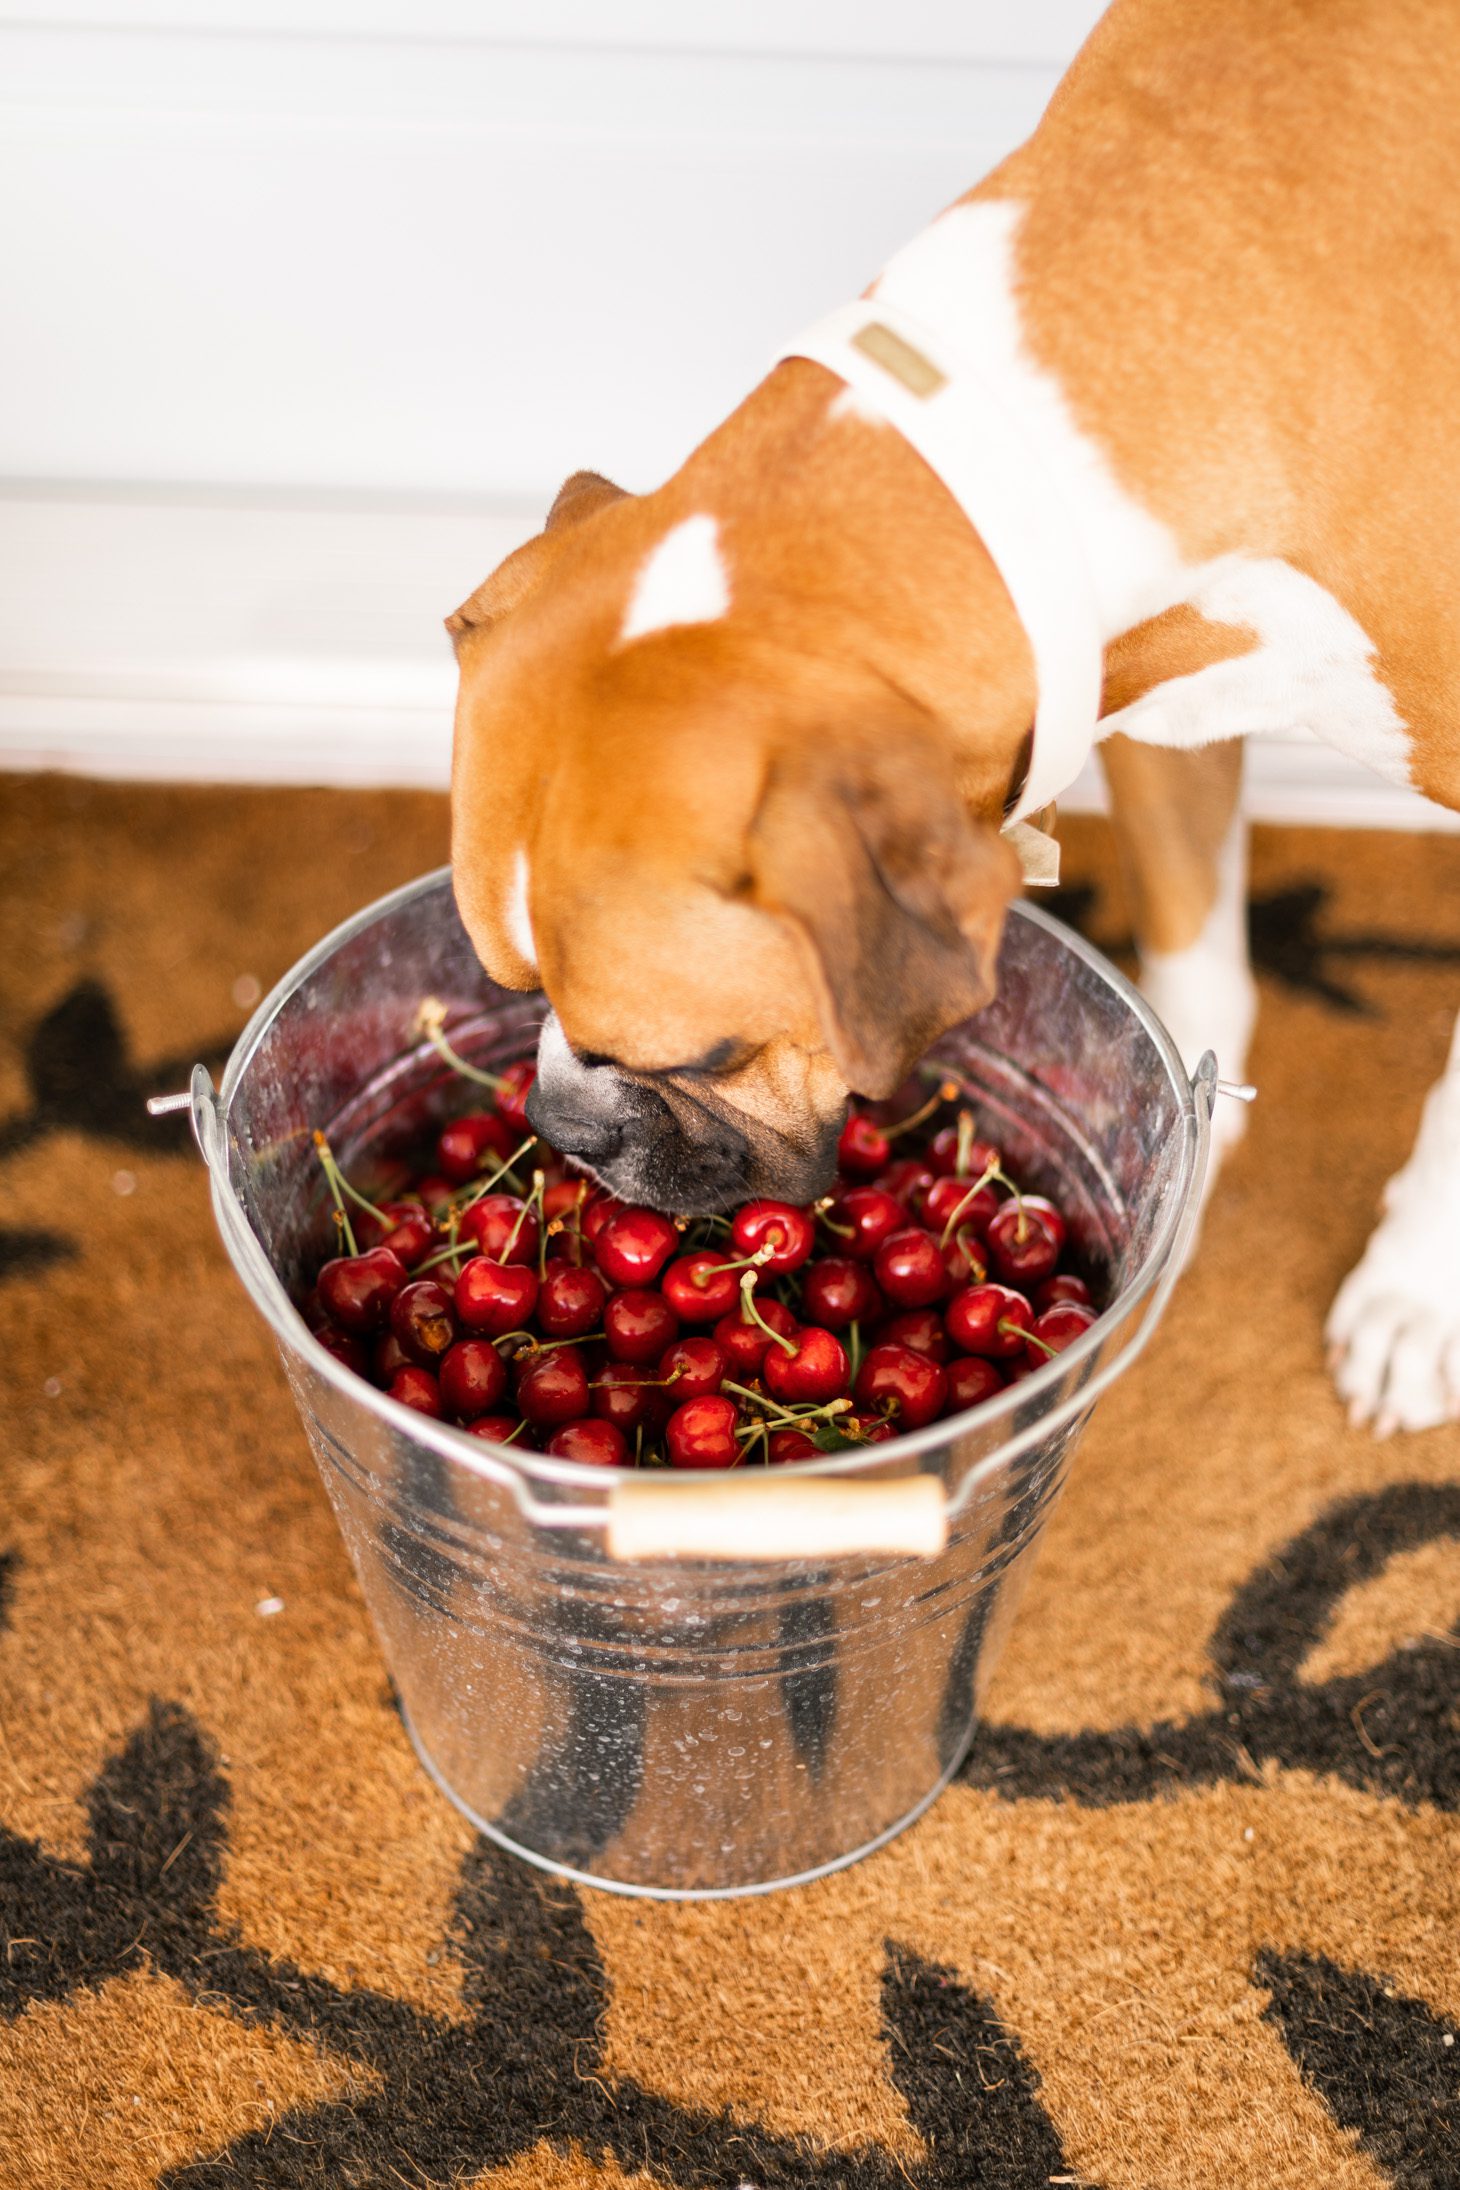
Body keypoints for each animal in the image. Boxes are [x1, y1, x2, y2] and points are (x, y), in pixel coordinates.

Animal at [448, 0, 1460, 1436]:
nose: (565, 1128)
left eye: (711, 1048)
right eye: (511, 983)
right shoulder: (1147, 690)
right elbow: (1194, 961)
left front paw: (1418, 1288)